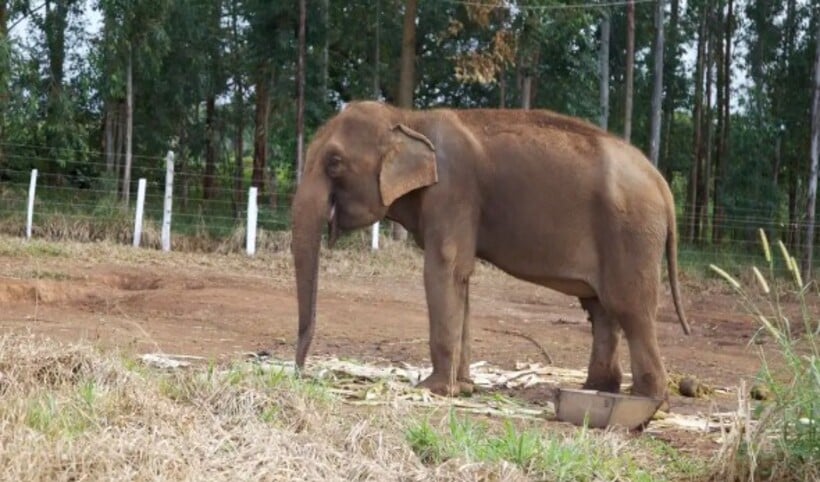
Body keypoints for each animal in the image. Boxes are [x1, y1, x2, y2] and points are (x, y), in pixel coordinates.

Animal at [292, 100, 688, 400]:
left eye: (334, 162)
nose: (298, 373)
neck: (407, 117)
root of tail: (661, 183)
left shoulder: (453, 191)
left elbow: (443, 269)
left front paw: (433, 389)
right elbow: (461, 277)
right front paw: (463, 387)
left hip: (631, 233)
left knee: (630, 307)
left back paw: (646, 400)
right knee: (600, 309)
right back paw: (597, 389)